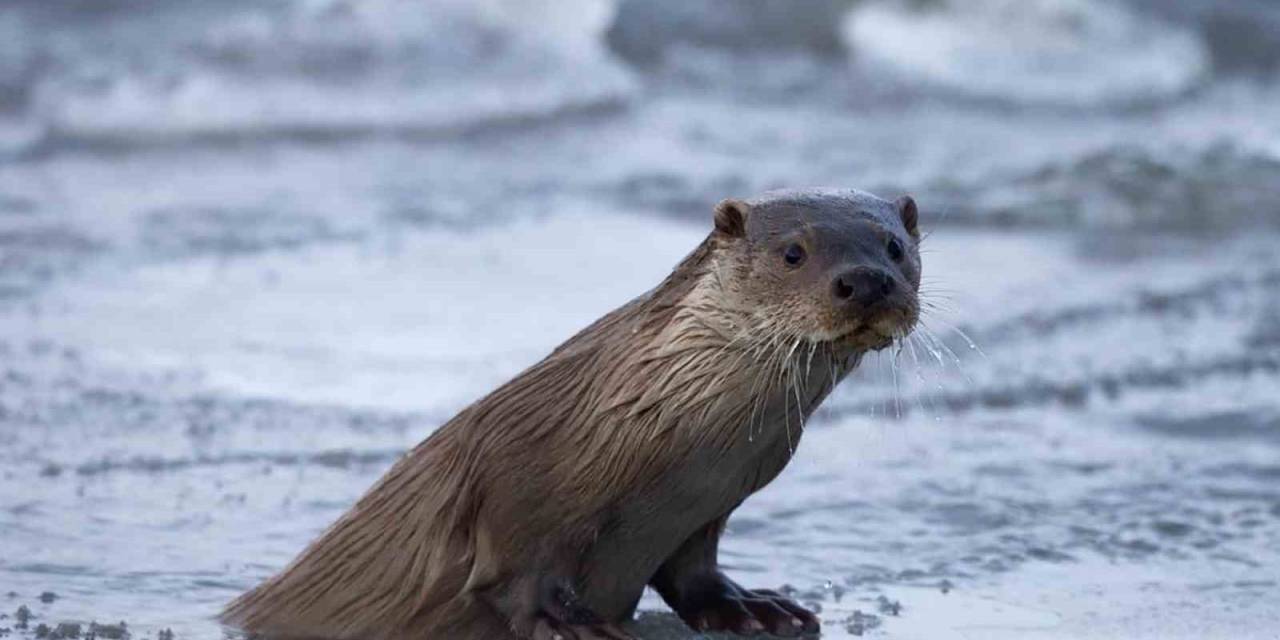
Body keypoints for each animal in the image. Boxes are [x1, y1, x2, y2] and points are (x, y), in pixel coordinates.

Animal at [222, 186, 921, 637]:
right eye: (794, 252)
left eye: (894, 247)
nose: (865, 281)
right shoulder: (512, 483)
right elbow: (518, 577)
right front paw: (572, 623)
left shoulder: (706, 508)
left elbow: (694, 571)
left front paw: (754, 608)